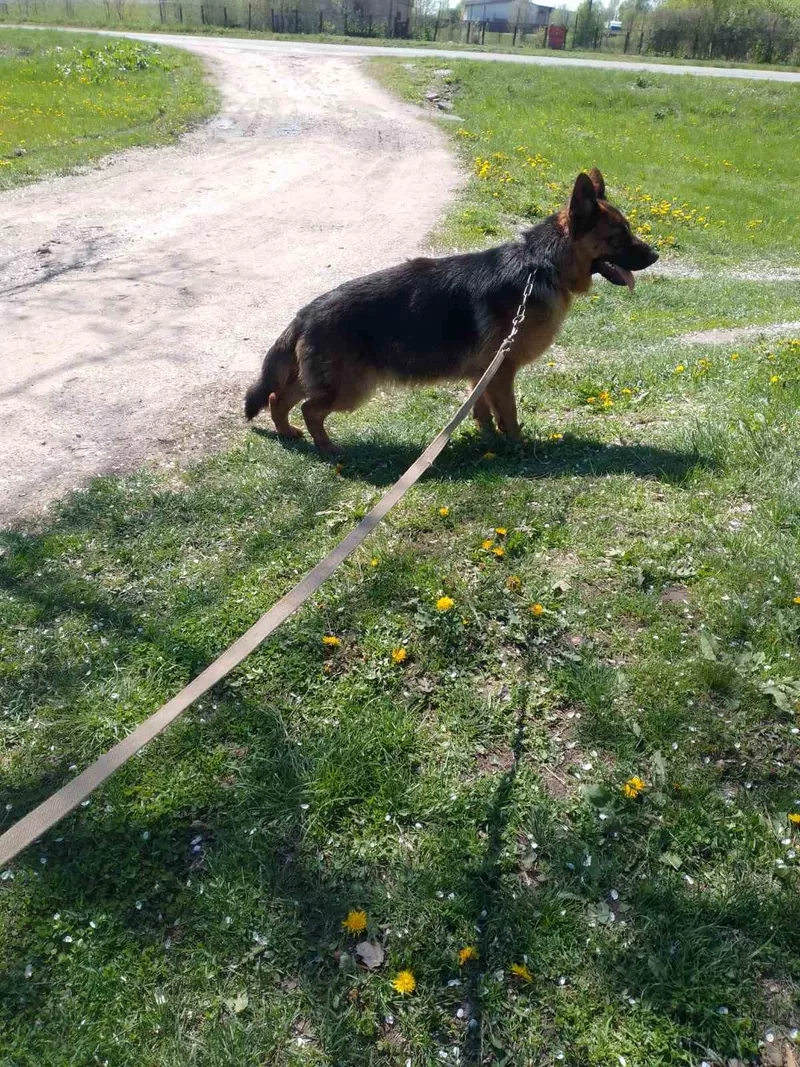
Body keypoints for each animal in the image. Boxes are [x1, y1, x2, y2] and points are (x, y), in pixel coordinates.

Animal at [244, 168, 657, 452]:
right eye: (618, 237)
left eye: (628, 231)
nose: (656, 255)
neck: (541, 265)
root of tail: (305, 312)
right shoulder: (502, 370)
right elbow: (509, 413)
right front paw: (518, 447)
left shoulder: (482, 374)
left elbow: (482, 411)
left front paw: (488, 441)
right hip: (352, 386)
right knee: (309, 409)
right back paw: (328, 448)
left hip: (321, 377)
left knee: (278, 397)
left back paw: (287, 433)